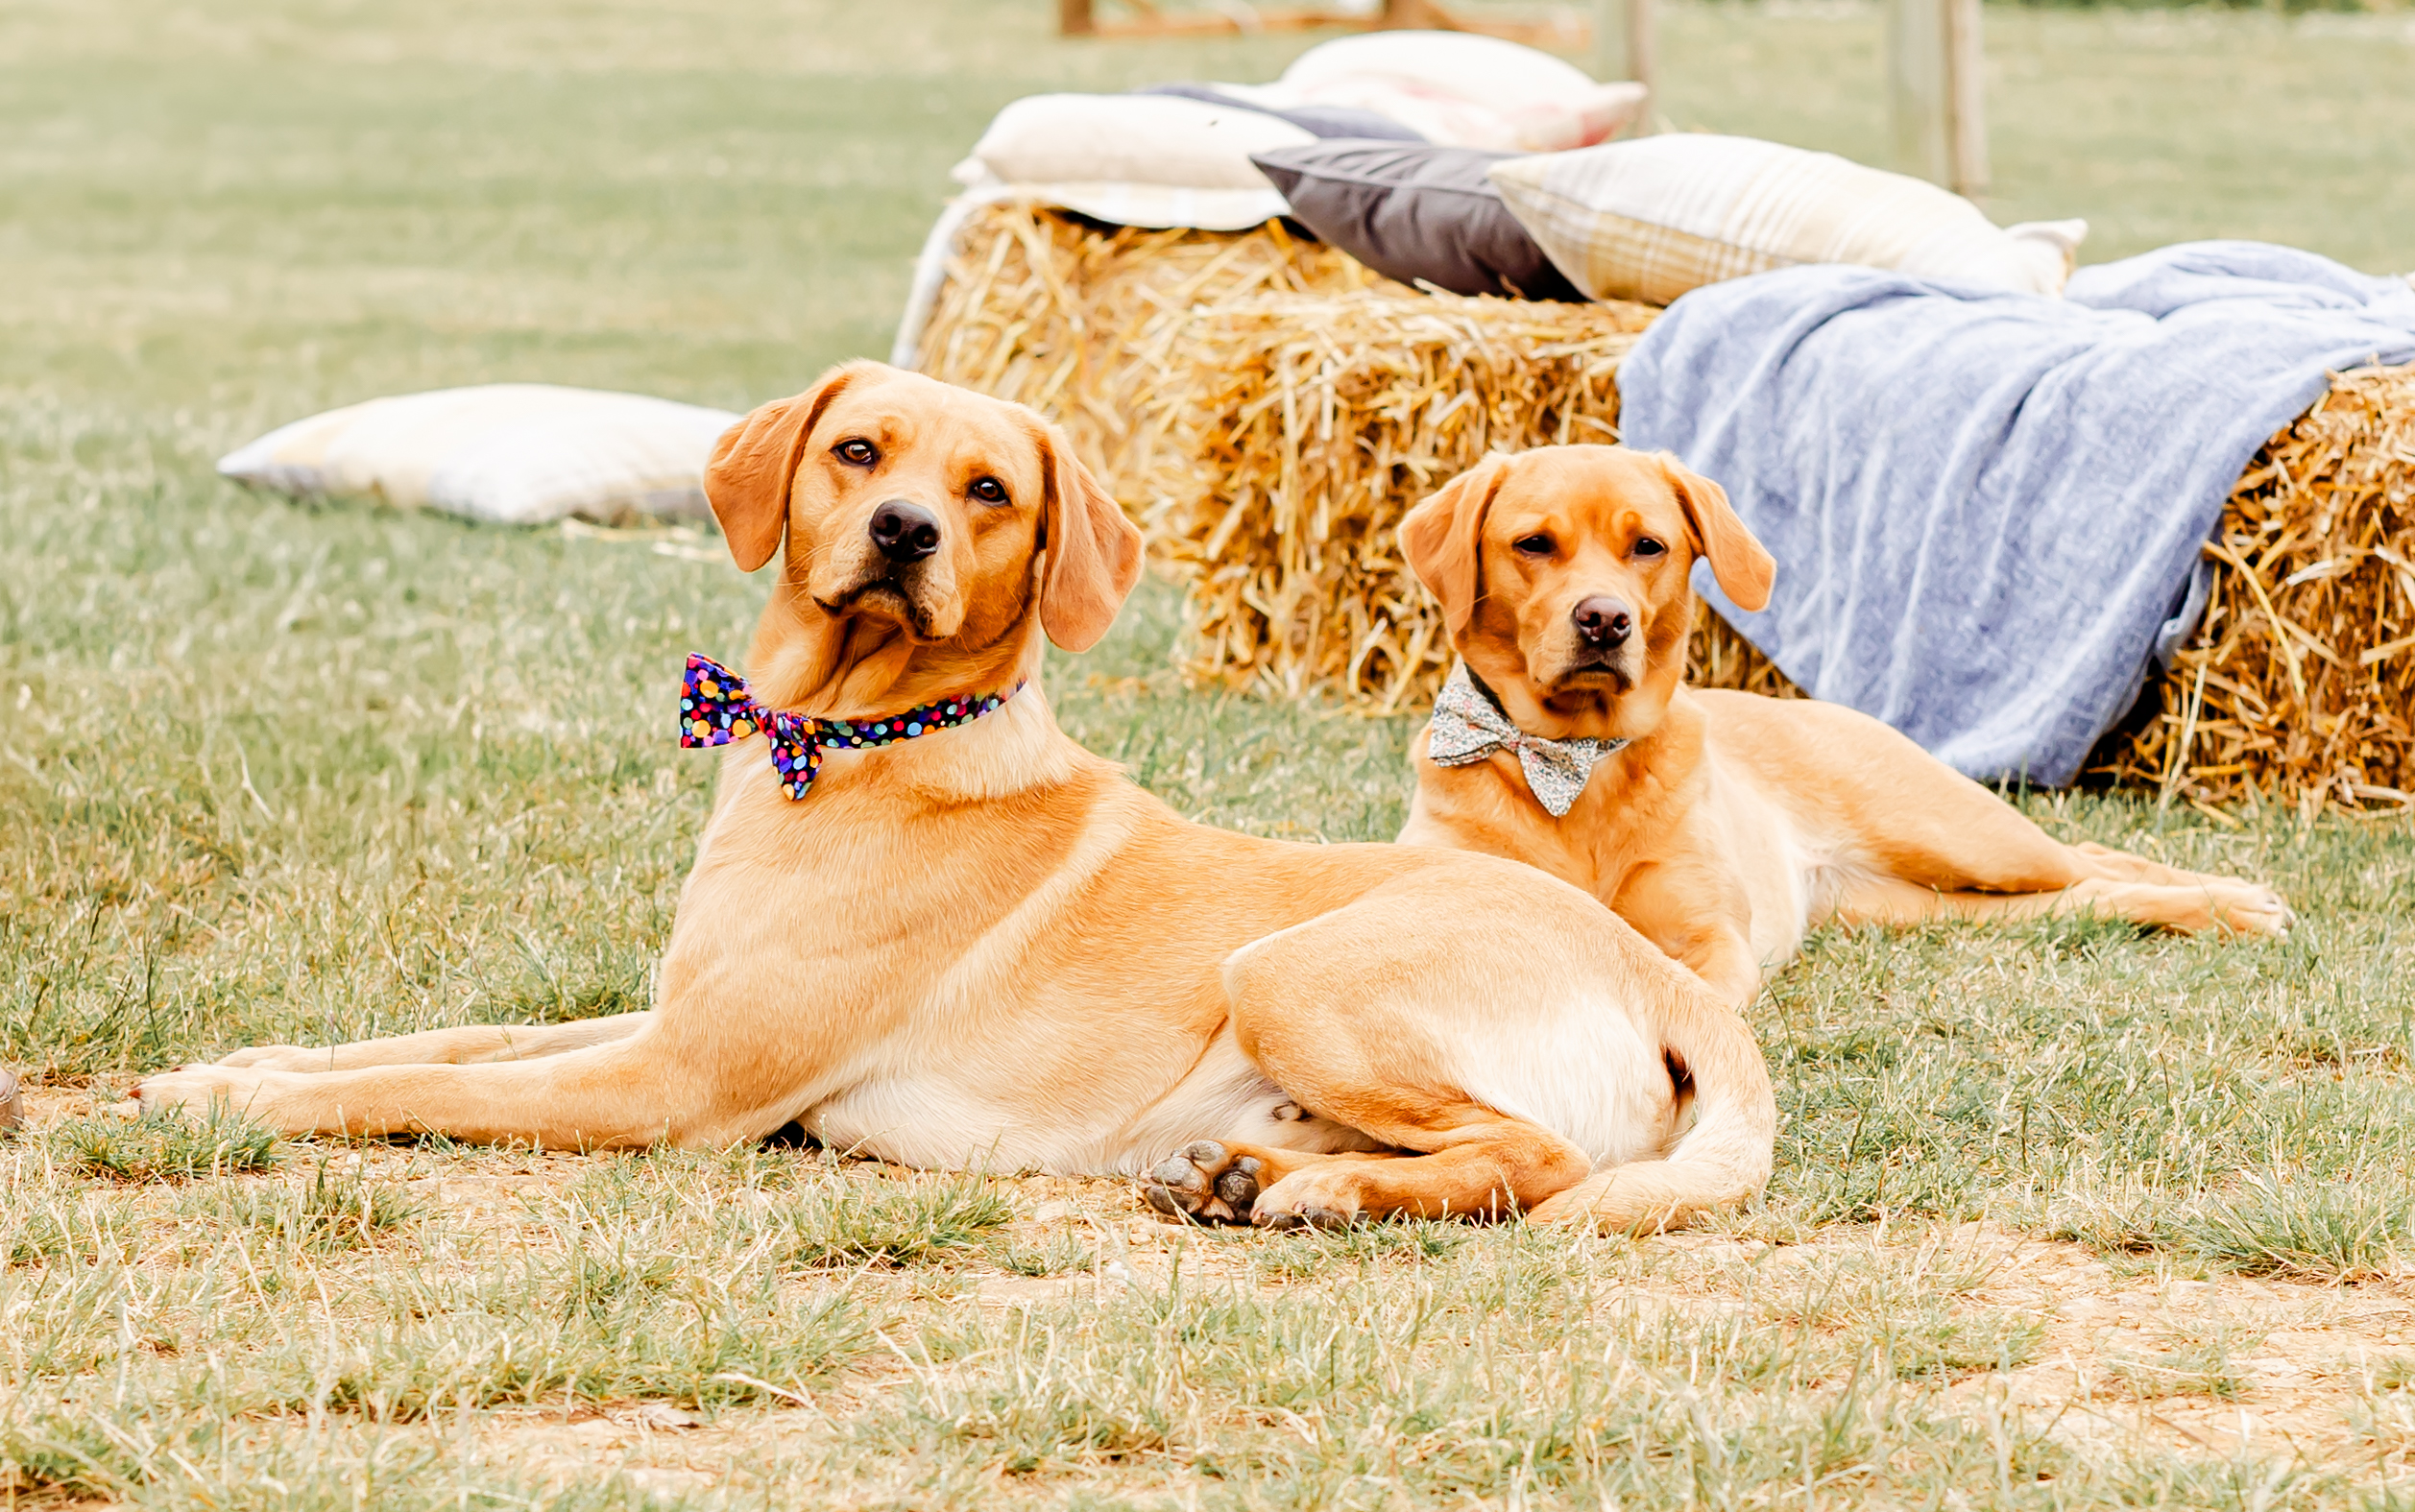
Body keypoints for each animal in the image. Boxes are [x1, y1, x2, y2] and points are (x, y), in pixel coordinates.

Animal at [136, 365, 1775, 1234]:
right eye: (856, 450)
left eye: (991, 490)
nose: (903, 529)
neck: (858, 739)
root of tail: (1655, 973)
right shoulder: (669, 1017)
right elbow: (440, 1038)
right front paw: (245, 1059)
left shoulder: (675, 1082)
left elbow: (421, 1087)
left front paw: (255, 1098)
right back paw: (1250, 1168)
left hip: (1288, 968)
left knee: (1535, 1159)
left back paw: (1307, 1194)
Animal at [1395, 445, 2292, 1009]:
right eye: (1533, 543)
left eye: (1647, 545)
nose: (1605, 620)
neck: (1573, 760)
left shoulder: (1710, 937)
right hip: (1928, 904)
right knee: (2083, 895)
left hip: (1961, 835)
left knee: (2090, 857)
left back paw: (2235, 900)